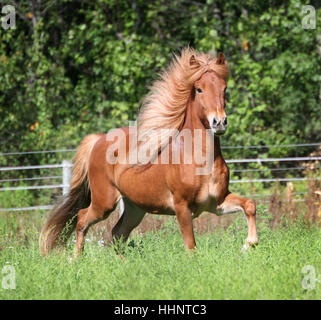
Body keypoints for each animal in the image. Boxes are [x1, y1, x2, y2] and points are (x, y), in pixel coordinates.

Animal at [39, 48, 258, 258]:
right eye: (199, 89)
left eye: (224, 88)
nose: (219, 122)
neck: (200, 160)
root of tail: (98, 140)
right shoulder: (182, 207)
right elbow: (191, 247)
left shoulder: (216, 203)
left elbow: (249, 205)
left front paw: (248, 245)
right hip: (104, 203)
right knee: (82, 219)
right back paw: (76, 259)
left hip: (135, 207)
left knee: (117, 232)